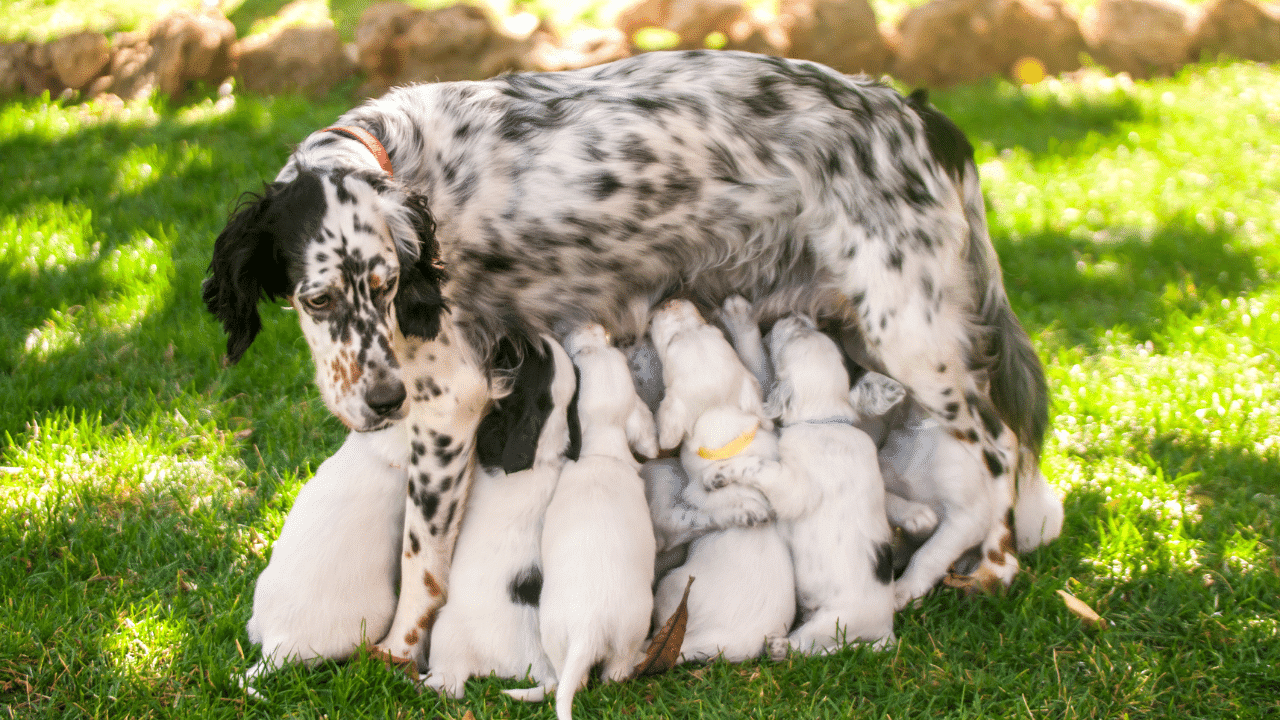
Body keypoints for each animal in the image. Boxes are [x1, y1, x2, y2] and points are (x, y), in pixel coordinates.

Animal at [422, 335, 578, 696]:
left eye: (531, 357)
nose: (515, 335)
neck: (544, 446)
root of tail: (540, 671)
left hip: (446, 630)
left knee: (453, 683)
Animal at [506, 324, 660, 717]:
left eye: (579, 358)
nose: (593, 326)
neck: (601, 451)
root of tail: (588, 630)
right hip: (621, 630)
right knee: (607, 675)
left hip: (569, 634)